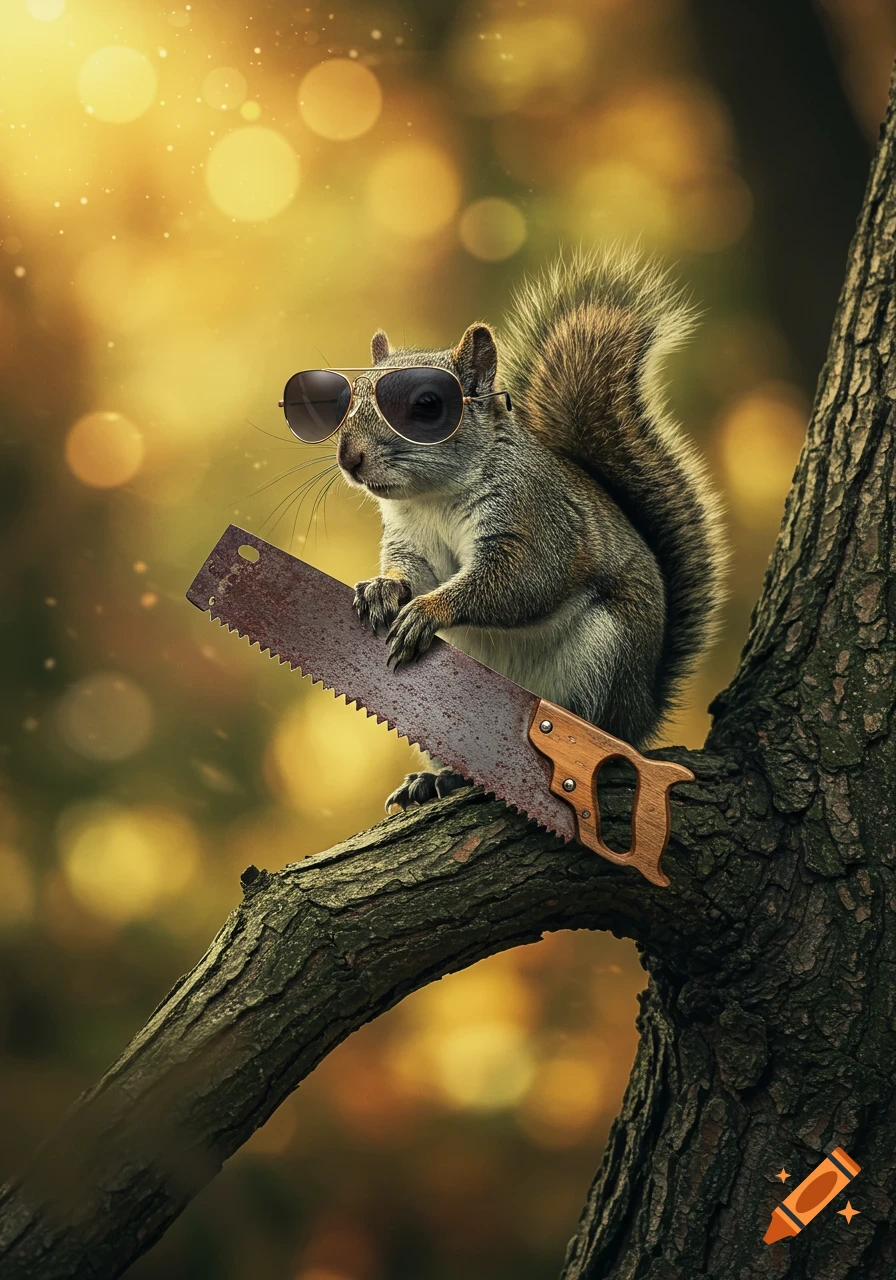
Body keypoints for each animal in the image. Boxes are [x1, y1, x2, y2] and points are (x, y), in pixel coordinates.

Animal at [338, 246, 727, 811]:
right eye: (346, 399)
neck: (433, 498)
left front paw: (429, 611)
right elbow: (411, 569)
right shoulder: (412, 540)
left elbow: (520, 580)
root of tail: (641, 714)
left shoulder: (535, 520)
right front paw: (383, 589)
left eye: (428, 406)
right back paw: (438, 779)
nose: (348, 458)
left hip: (601, 662)